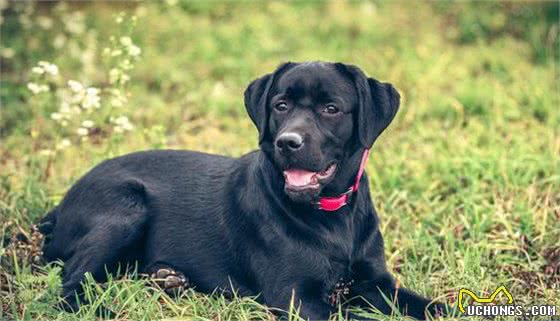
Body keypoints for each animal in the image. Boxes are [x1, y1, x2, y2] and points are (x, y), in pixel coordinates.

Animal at [38, 61, 442, 318]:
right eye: (281, 105)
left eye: (331, 108)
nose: (288, 142)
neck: (330, 216)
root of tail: (61, 206)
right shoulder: (295, 297)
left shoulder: (377, 283)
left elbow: (431, 306)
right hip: (126, 208)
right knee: (70, 282)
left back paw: (170, 279)